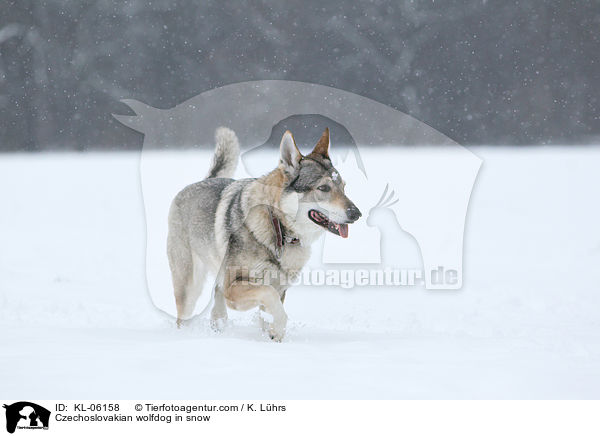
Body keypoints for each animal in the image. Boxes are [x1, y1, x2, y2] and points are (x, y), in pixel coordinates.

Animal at [166, 126, 360, 340]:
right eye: (323, 188)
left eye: (343, 187)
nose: (357, 214)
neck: (278, 227)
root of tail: (202, 181)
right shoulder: (234, 288)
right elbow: (271, 297)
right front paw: (277, 328)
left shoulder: (279, 287)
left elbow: (269, 310)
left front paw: (273, 335)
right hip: (189, 285)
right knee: (183, 316)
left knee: (216, 299)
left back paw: (219, 326)